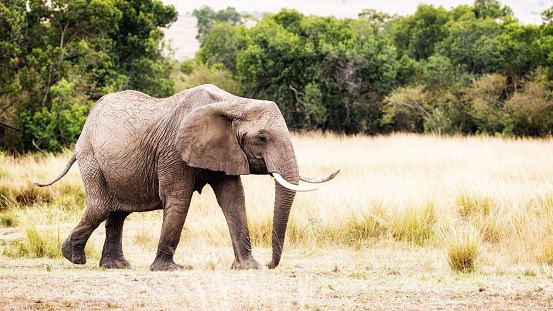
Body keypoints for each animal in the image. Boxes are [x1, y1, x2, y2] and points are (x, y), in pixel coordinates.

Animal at [36, 83, 338, 270]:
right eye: (262, 138)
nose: (269, 264)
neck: (235, 103)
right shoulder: (174, 150)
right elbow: (179, 200)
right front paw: (170, 269)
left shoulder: (224, 149)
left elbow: (233, 200)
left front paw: (247, 267)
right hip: (92, 160)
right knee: (101, 206)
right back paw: (74, 258)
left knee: (117, 211)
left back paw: (115, 266)